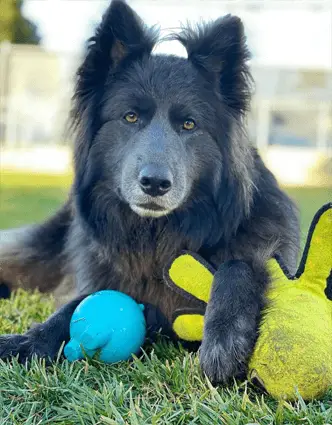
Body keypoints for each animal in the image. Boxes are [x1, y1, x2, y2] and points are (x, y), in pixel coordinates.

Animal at [0, 0, 298, 382]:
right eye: (130, 117)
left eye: (189, 124)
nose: (155, 183)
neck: (160, 235)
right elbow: (69, 308)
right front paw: (26, 341)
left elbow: (240, 264)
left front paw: (225, 338)